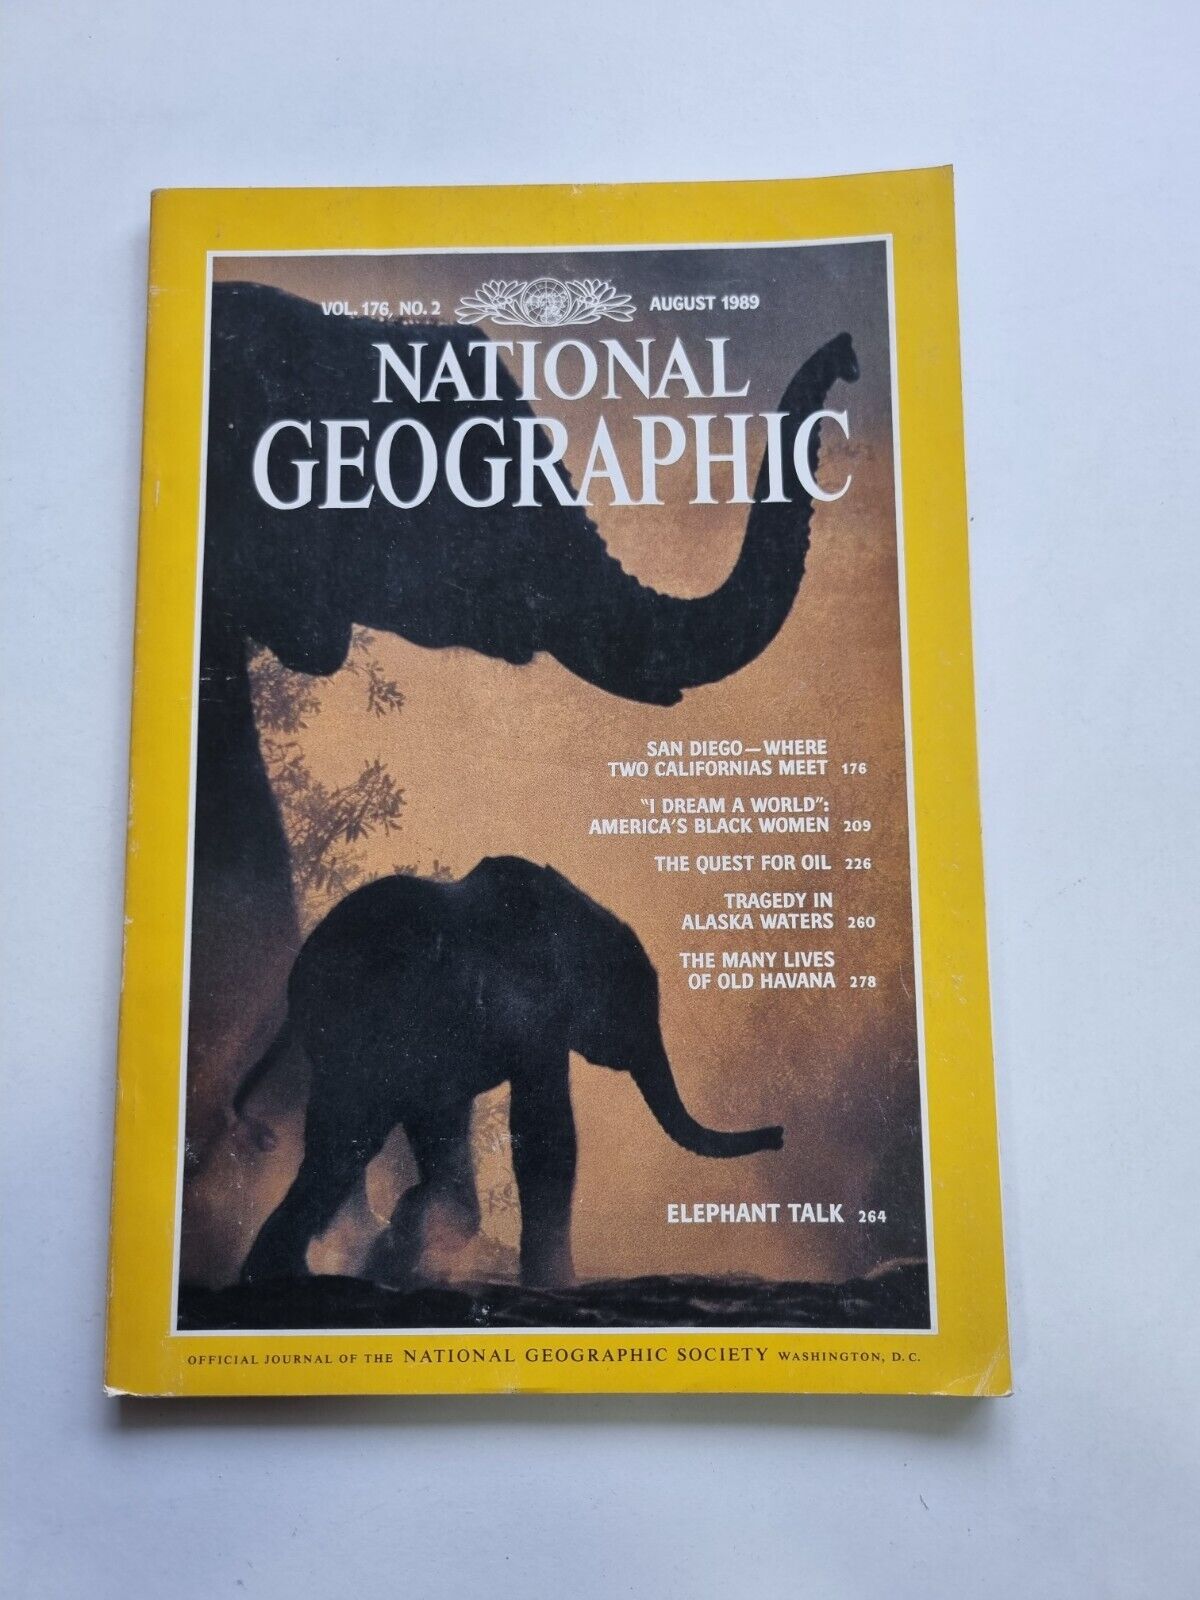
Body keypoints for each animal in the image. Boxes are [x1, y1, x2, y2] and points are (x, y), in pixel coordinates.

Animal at [236, 856, 784, 1289]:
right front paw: (555, 1286)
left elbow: (447, 1128)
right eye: (633, 1002)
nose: (779, 1135)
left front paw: (403, 1239)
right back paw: (279, 1276)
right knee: (347, 1140)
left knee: (339, 1142)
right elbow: (545, 1133)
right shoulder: (532, 1011)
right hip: (357, 1032)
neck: (573, 911)